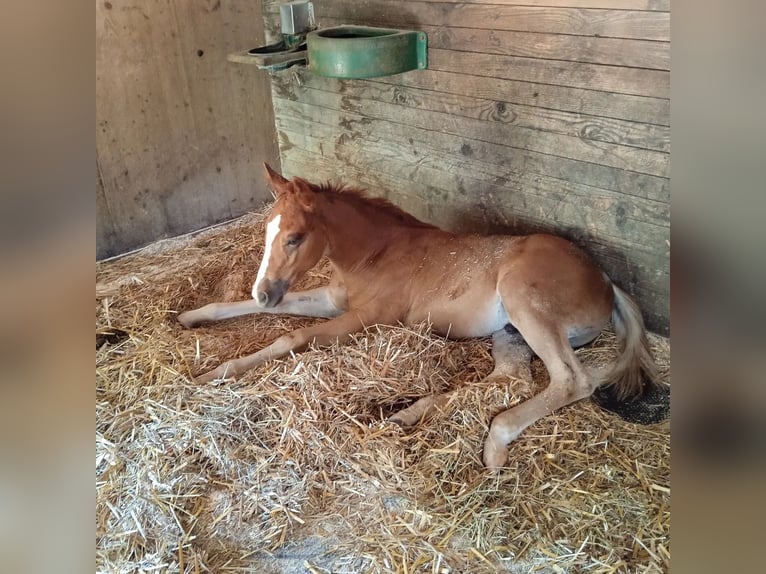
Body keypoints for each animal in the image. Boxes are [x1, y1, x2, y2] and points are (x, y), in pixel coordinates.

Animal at [177, 164, 656, 470]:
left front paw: (217, 372)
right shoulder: (333, 300)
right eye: (267, 232)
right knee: (512, 379)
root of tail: (606, 282)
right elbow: (239, 312)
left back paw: (494, 440)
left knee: (571, 380)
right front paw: (196, 329)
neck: (374, 254)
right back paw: (412, 414)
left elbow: (291, 340)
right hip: (510, 330)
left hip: (526, 304)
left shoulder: (370, 317)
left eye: (295, 237)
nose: (265, 292)